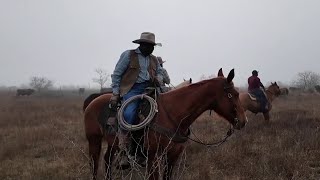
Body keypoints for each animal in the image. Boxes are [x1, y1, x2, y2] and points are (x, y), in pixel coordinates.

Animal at [84, 68, 246, 179]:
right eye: (232, 94)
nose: (243, 121)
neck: (172, 113)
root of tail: (92, 102)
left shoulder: (172, 156)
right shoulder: (153, 157)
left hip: (113, 144)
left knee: (107, 160)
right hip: (94, 141)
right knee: (94, 163)